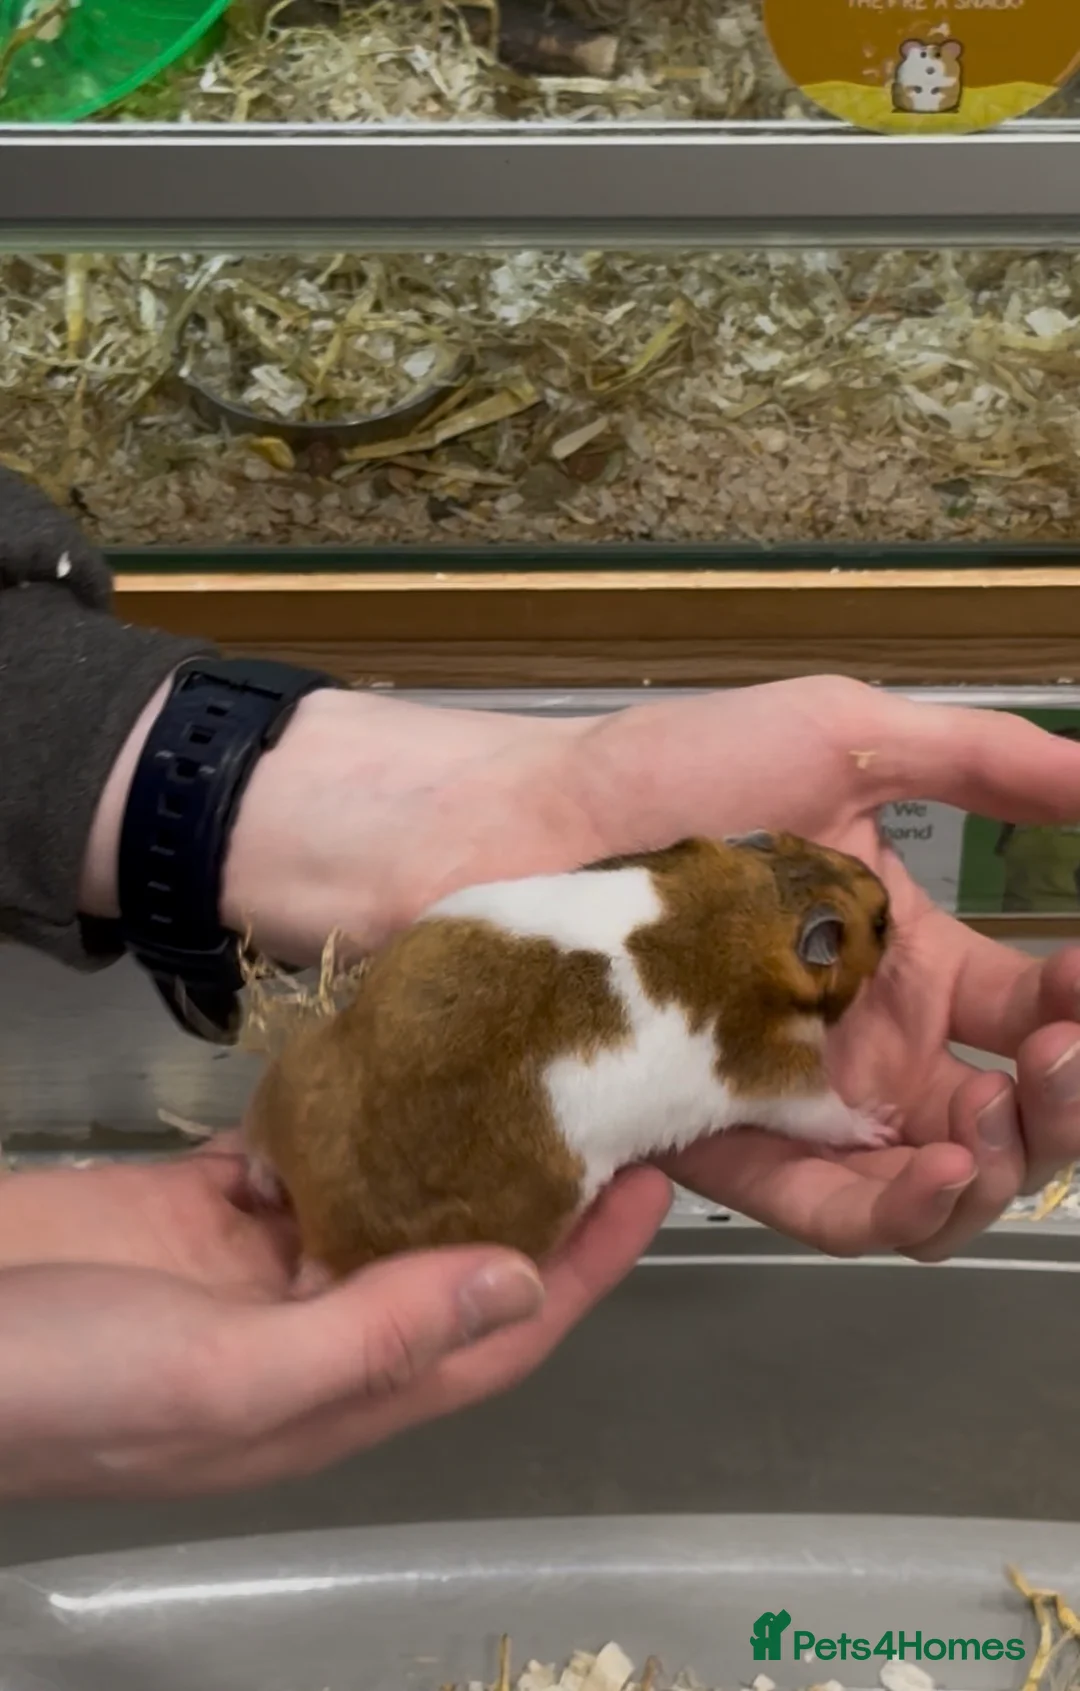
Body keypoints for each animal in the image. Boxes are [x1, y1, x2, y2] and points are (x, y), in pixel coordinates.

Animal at [242, 830, 897, 1285]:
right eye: (881, 923)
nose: (883, 883)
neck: (753, 912)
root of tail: (322, 1228)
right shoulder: (780, 1076)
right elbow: (826, 1113)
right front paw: (881, 1126)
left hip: (299, 1067)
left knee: (262, 1136)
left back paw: (259, 1179)